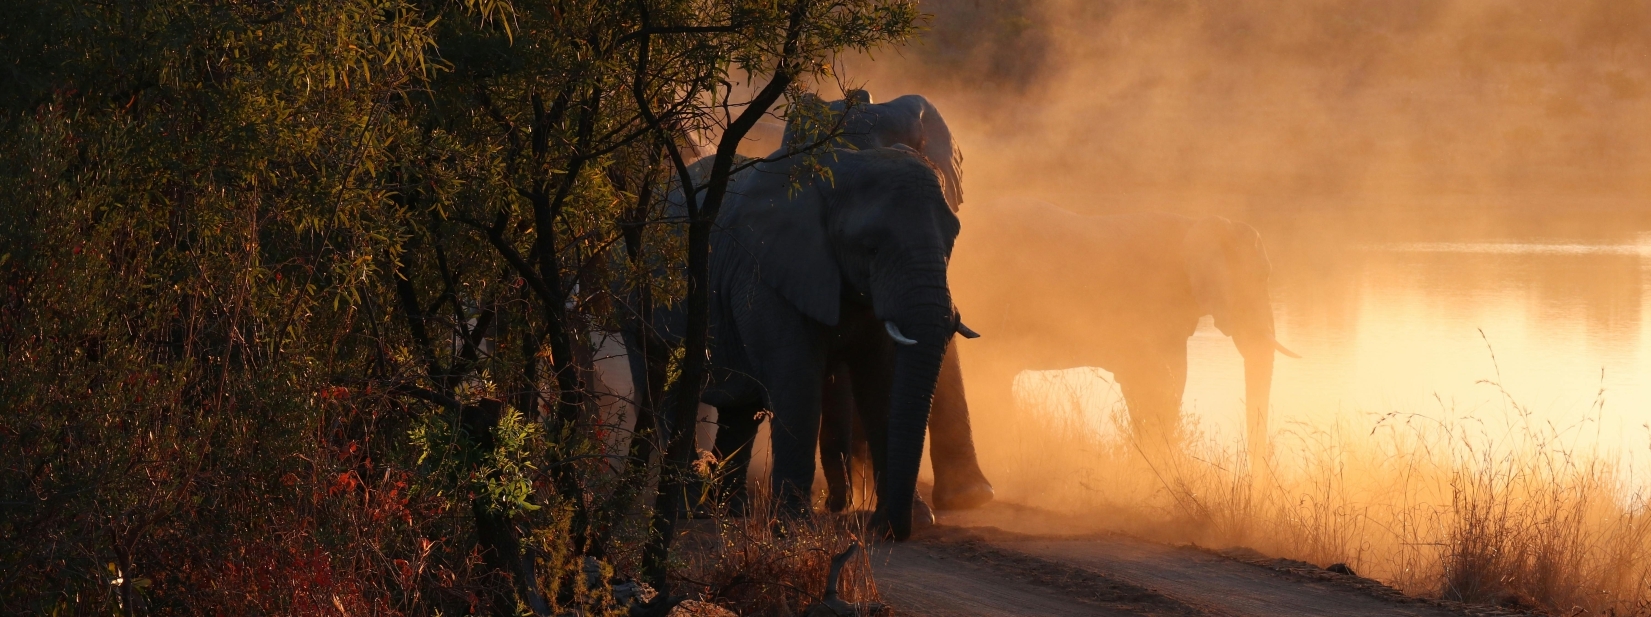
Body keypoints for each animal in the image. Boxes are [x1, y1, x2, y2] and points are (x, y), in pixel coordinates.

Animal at [688, 145, 965, 540]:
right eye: (871, 248)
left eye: (952, 240)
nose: (887, 530)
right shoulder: (765, 274)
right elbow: (797, 382)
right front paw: (793, 528)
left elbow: (882, 386)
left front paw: (910, 518)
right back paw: (692, 505)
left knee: (739, 405)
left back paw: (731, 512)